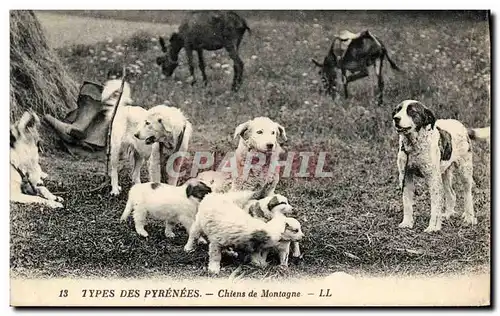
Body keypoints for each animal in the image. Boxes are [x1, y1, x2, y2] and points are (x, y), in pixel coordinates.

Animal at [392, 99, 490, 232]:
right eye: (398, 110)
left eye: (411, 111)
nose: (395, 118)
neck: (413, 145)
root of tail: (462, 126)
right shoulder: (405, 176)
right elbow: (407, 203)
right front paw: (407, 223)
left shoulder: (433, 179)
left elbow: (435, 206)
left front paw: (433, 227)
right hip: (444, 174)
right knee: (451, 194)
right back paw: (448, 214)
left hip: (464, 171)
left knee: (467, 194)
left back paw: (469, 218)